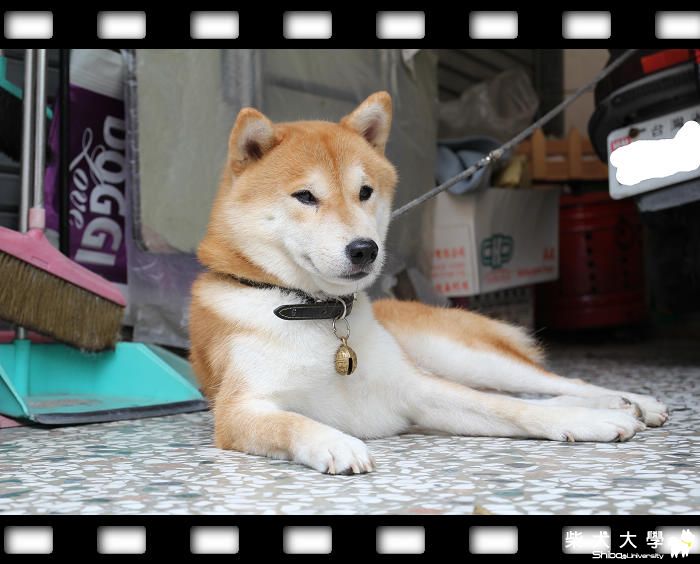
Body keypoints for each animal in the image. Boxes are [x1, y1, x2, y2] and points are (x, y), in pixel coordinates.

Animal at [189, 91, 668, 474]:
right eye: (305, 196)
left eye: (365, 192)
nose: (364, 250)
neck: (315, 310)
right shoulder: (240, 409)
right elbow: (292, 422)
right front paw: (335, 441)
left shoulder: (415, 390)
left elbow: (507, 407)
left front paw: (590, 423)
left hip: (458, 356)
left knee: (554, 383)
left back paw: (628, 402)